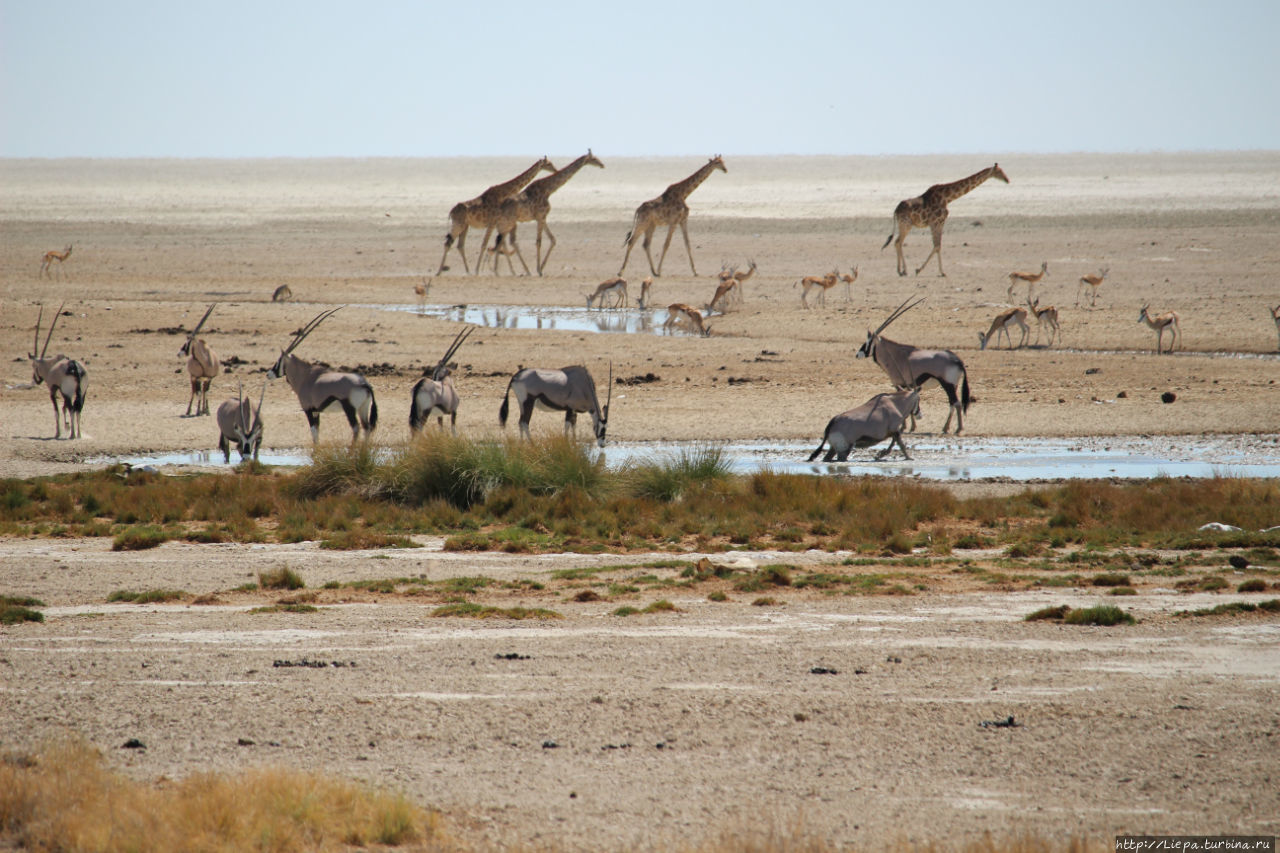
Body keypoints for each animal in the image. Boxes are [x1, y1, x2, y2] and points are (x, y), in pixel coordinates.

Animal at [28, 302, 86, 438]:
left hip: (68, 393)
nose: (36, 380)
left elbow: (57, 410)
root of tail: (74, 366)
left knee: (71, 408)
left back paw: (72, 434)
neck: (51, 365)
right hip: (82, 392)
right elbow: (64, 408)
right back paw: (78, 434)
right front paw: (67, 426)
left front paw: (58, 432)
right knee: (78, 408)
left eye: (34, 365)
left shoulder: (53, 390)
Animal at [264, 303, 373, 438]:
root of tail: (363, 384)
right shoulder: (317, 411)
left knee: (356, 428)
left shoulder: (309, 409)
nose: (268, 374)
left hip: (350, 409)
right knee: (367, 428)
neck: (305, 376)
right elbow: (317, 431)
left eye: (278, 361)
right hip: (363, 408)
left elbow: (314, 432)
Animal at [880, 162, 1008, 275]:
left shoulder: (938, 222)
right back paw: (903, 271)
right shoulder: (936, 222)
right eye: (999, 171)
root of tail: (895, 210)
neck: (947, 198)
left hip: (904, 224)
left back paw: (900, 270)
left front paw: (934, 271)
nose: (1007, 180)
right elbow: (937, 245)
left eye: (1002, 171)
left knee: (897, 242)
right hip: (906, 224)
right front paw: (934, 271)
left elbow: (938, 245)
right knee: (898, 242)